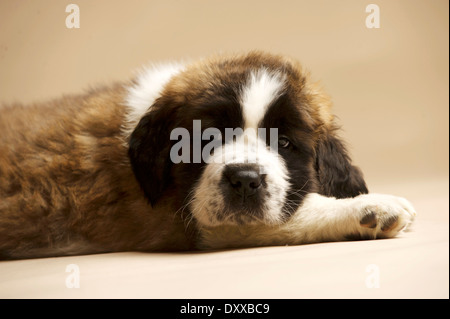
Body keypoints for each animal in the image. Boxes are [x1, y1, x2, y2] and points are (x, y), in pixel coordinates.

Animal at [0, 50, 414, 260]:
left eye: (284, 144)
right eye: (208, 137)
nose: (244, 180)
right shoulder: (192, 223)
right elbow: (298, 212)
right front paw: (371, 208)